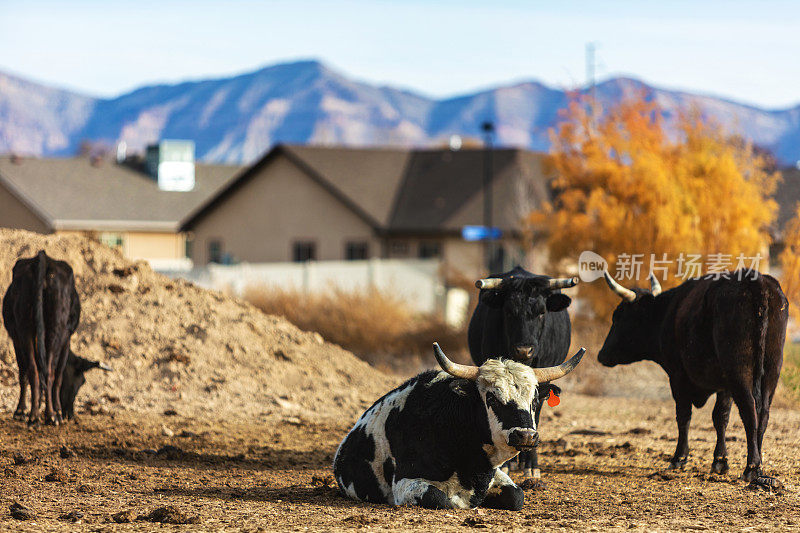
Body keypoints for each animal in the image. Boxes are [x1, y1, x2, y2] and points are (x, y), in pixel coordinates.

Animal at [466, 268, 580, 480]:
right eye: (508, 312)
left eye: (542, 312)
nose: (524, 350)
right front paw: (505, 464)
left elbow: (535, 418)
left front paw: (531, 465)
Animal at [600, 270, 788, 486]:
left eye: (617, 316)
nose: (601, 355)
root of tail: (758, 282)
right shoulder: (724, 385)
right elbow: (720, 417)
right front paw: (720, 461)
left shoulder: (678, 376)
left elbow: (683, 415)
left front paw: (679, 457)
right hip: (771, 370)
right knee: (763, 414)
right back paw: (758, 463)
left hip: (739, 371)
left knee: (749, 411)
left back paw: (752, 467)